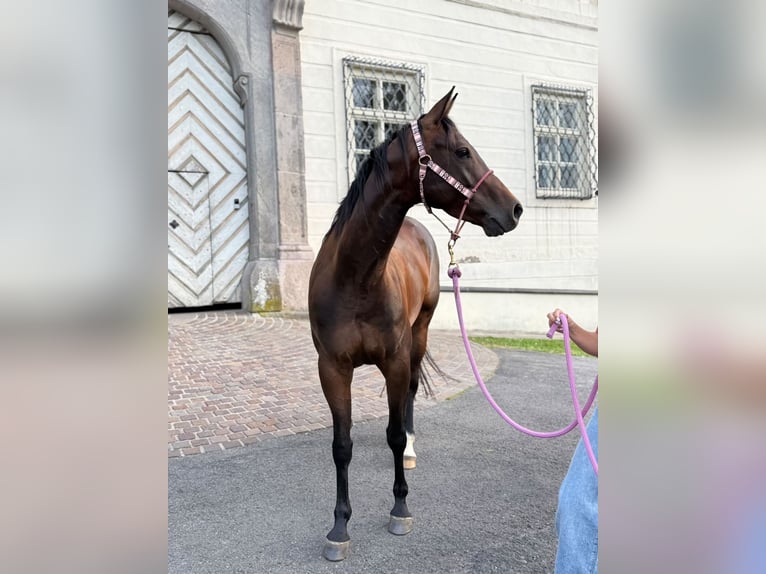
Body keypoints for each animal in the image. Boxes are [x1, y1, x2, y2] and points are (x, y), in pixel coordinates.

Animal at [308, 87, 523, 561]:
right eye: (462, 151)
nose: (515, 209)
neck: (356, 278)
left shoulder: (395, 359)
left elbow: (391, 432)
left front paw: (400, 507)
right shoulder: (332, 368)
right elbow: (341, 446)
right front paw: (339, 528)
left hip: (418, 337)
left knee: (407, 396)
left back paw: (409, 448)